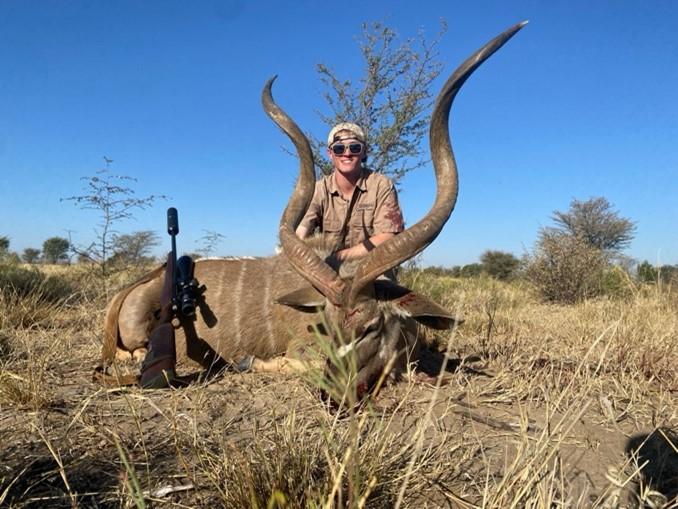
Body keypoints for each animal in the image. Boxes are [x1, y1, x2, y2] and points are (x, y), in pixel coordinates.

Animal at [99, 22, 526, 400]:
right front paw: (250, 363)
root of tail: (136, 286)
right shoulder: (301, 352)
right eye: (327, 327)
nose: (334, 391)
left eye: (371, 326)